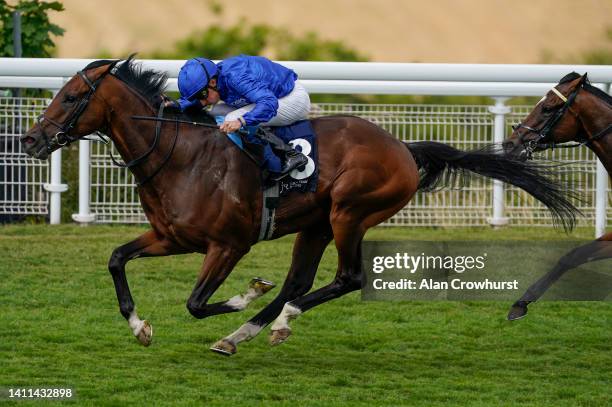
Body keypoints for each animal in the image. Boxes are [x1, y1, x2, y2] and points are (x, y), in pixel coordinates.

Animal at [21, 55, 580, 356]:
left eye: (70, 97)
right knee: (299, 282)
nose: (30, 140)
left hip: (350, 213)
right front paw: (139, 327)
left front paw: (244, 295)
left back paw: (276, 320)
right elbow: (117, 258)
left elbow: (197, 302)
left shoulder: (229, 244)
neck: (179, 155)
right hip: (315, 225)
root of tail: (403, 147)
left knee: (346, 278)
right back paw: (243, 334)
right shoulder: (172, 237)